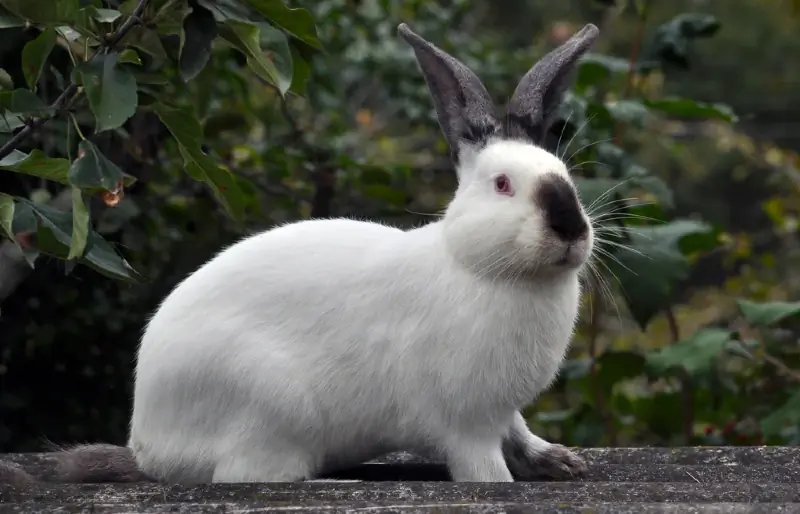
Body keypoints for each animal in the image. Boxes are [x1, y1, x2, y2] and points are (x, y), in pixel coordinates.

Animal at [1, 21, 600, 484]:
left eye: (565, 176)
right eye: (502, 184)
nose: (571, 228)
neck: (481, 266)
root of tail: (148, 447)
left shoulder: (504, 412)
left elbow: (520, 433)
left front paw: (560, 462)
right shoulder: (467, 424)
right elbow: (484, 469)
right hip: (271, 405)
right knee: (243, 476)